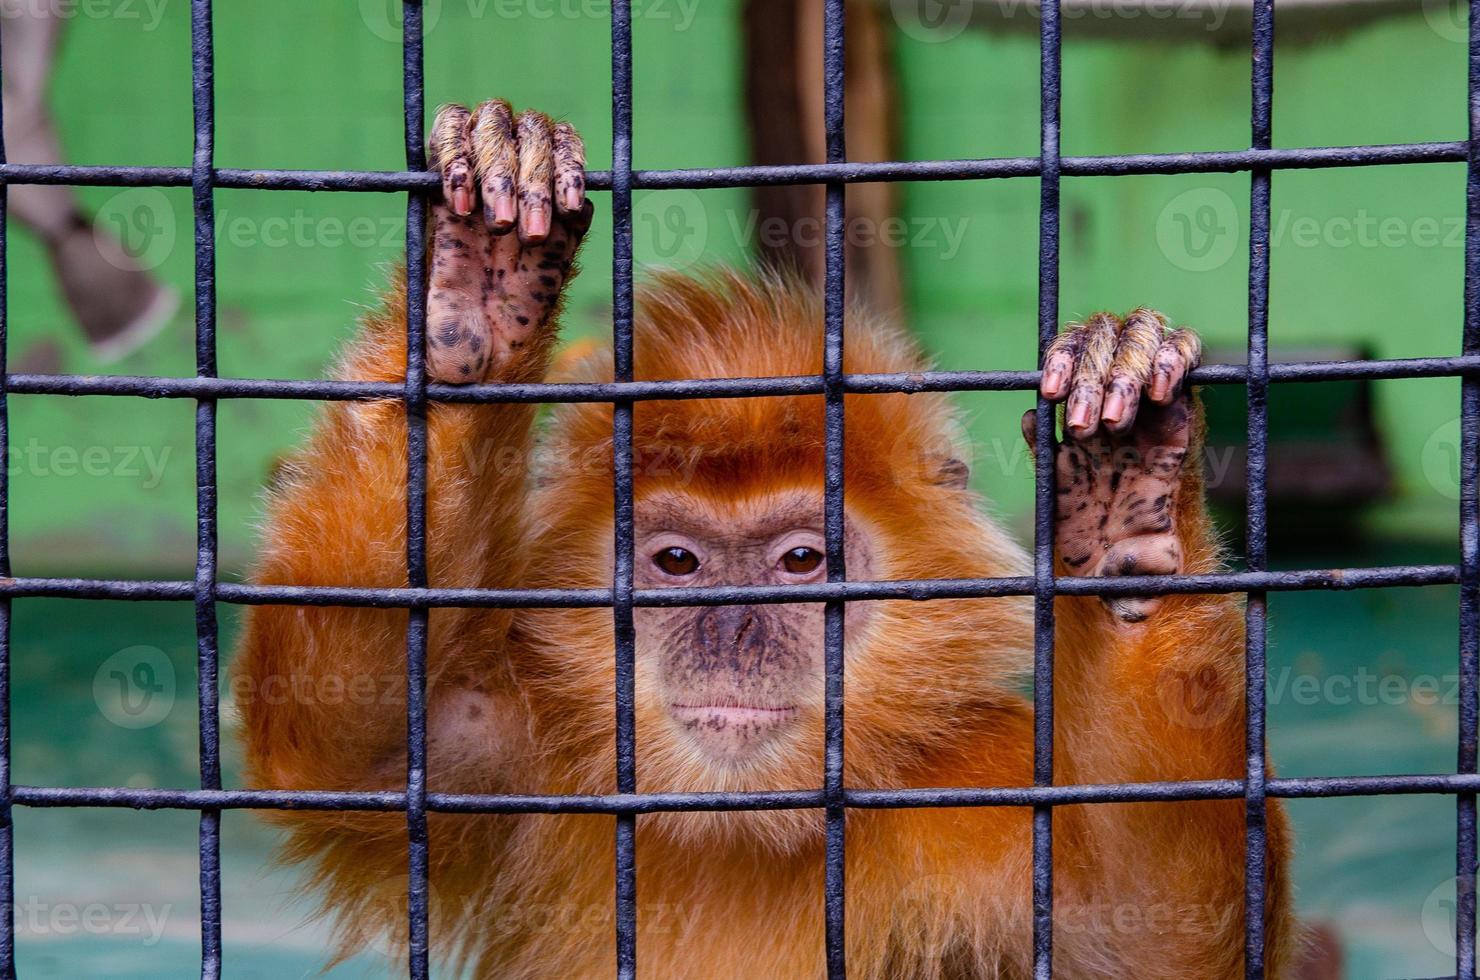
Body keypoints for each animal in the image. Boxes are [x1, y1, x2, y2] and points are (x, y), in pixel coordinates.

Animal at [236, 101, 1290, 980]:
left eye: (799, 563)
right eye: (677, 564)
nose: (733, 630)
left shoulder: (986, 784)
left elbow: (1154, 946)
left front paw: (1129, 515)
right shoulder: (505, 752)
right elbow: (349, 751)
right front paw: (477, 306)